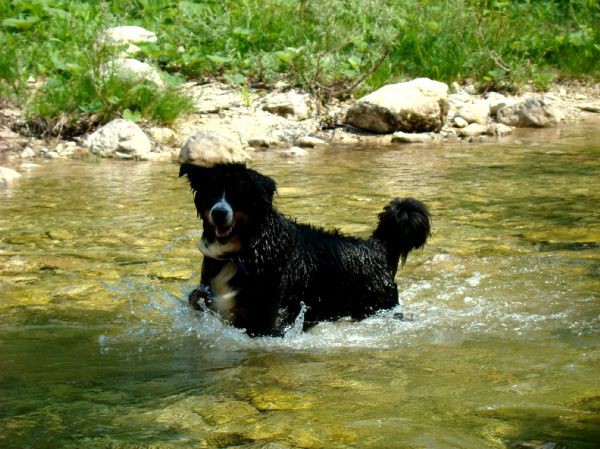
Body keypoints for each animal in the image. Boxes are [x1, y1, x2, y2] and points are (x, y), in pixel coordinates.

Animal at [179, 162, 432, 336]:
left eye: (238, 194)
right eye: (212, 192)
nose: (219, 212)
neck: (247, 249)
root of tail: (377, 246)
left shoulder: (273, 315)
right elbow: (197, 299)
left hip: (376, 306)